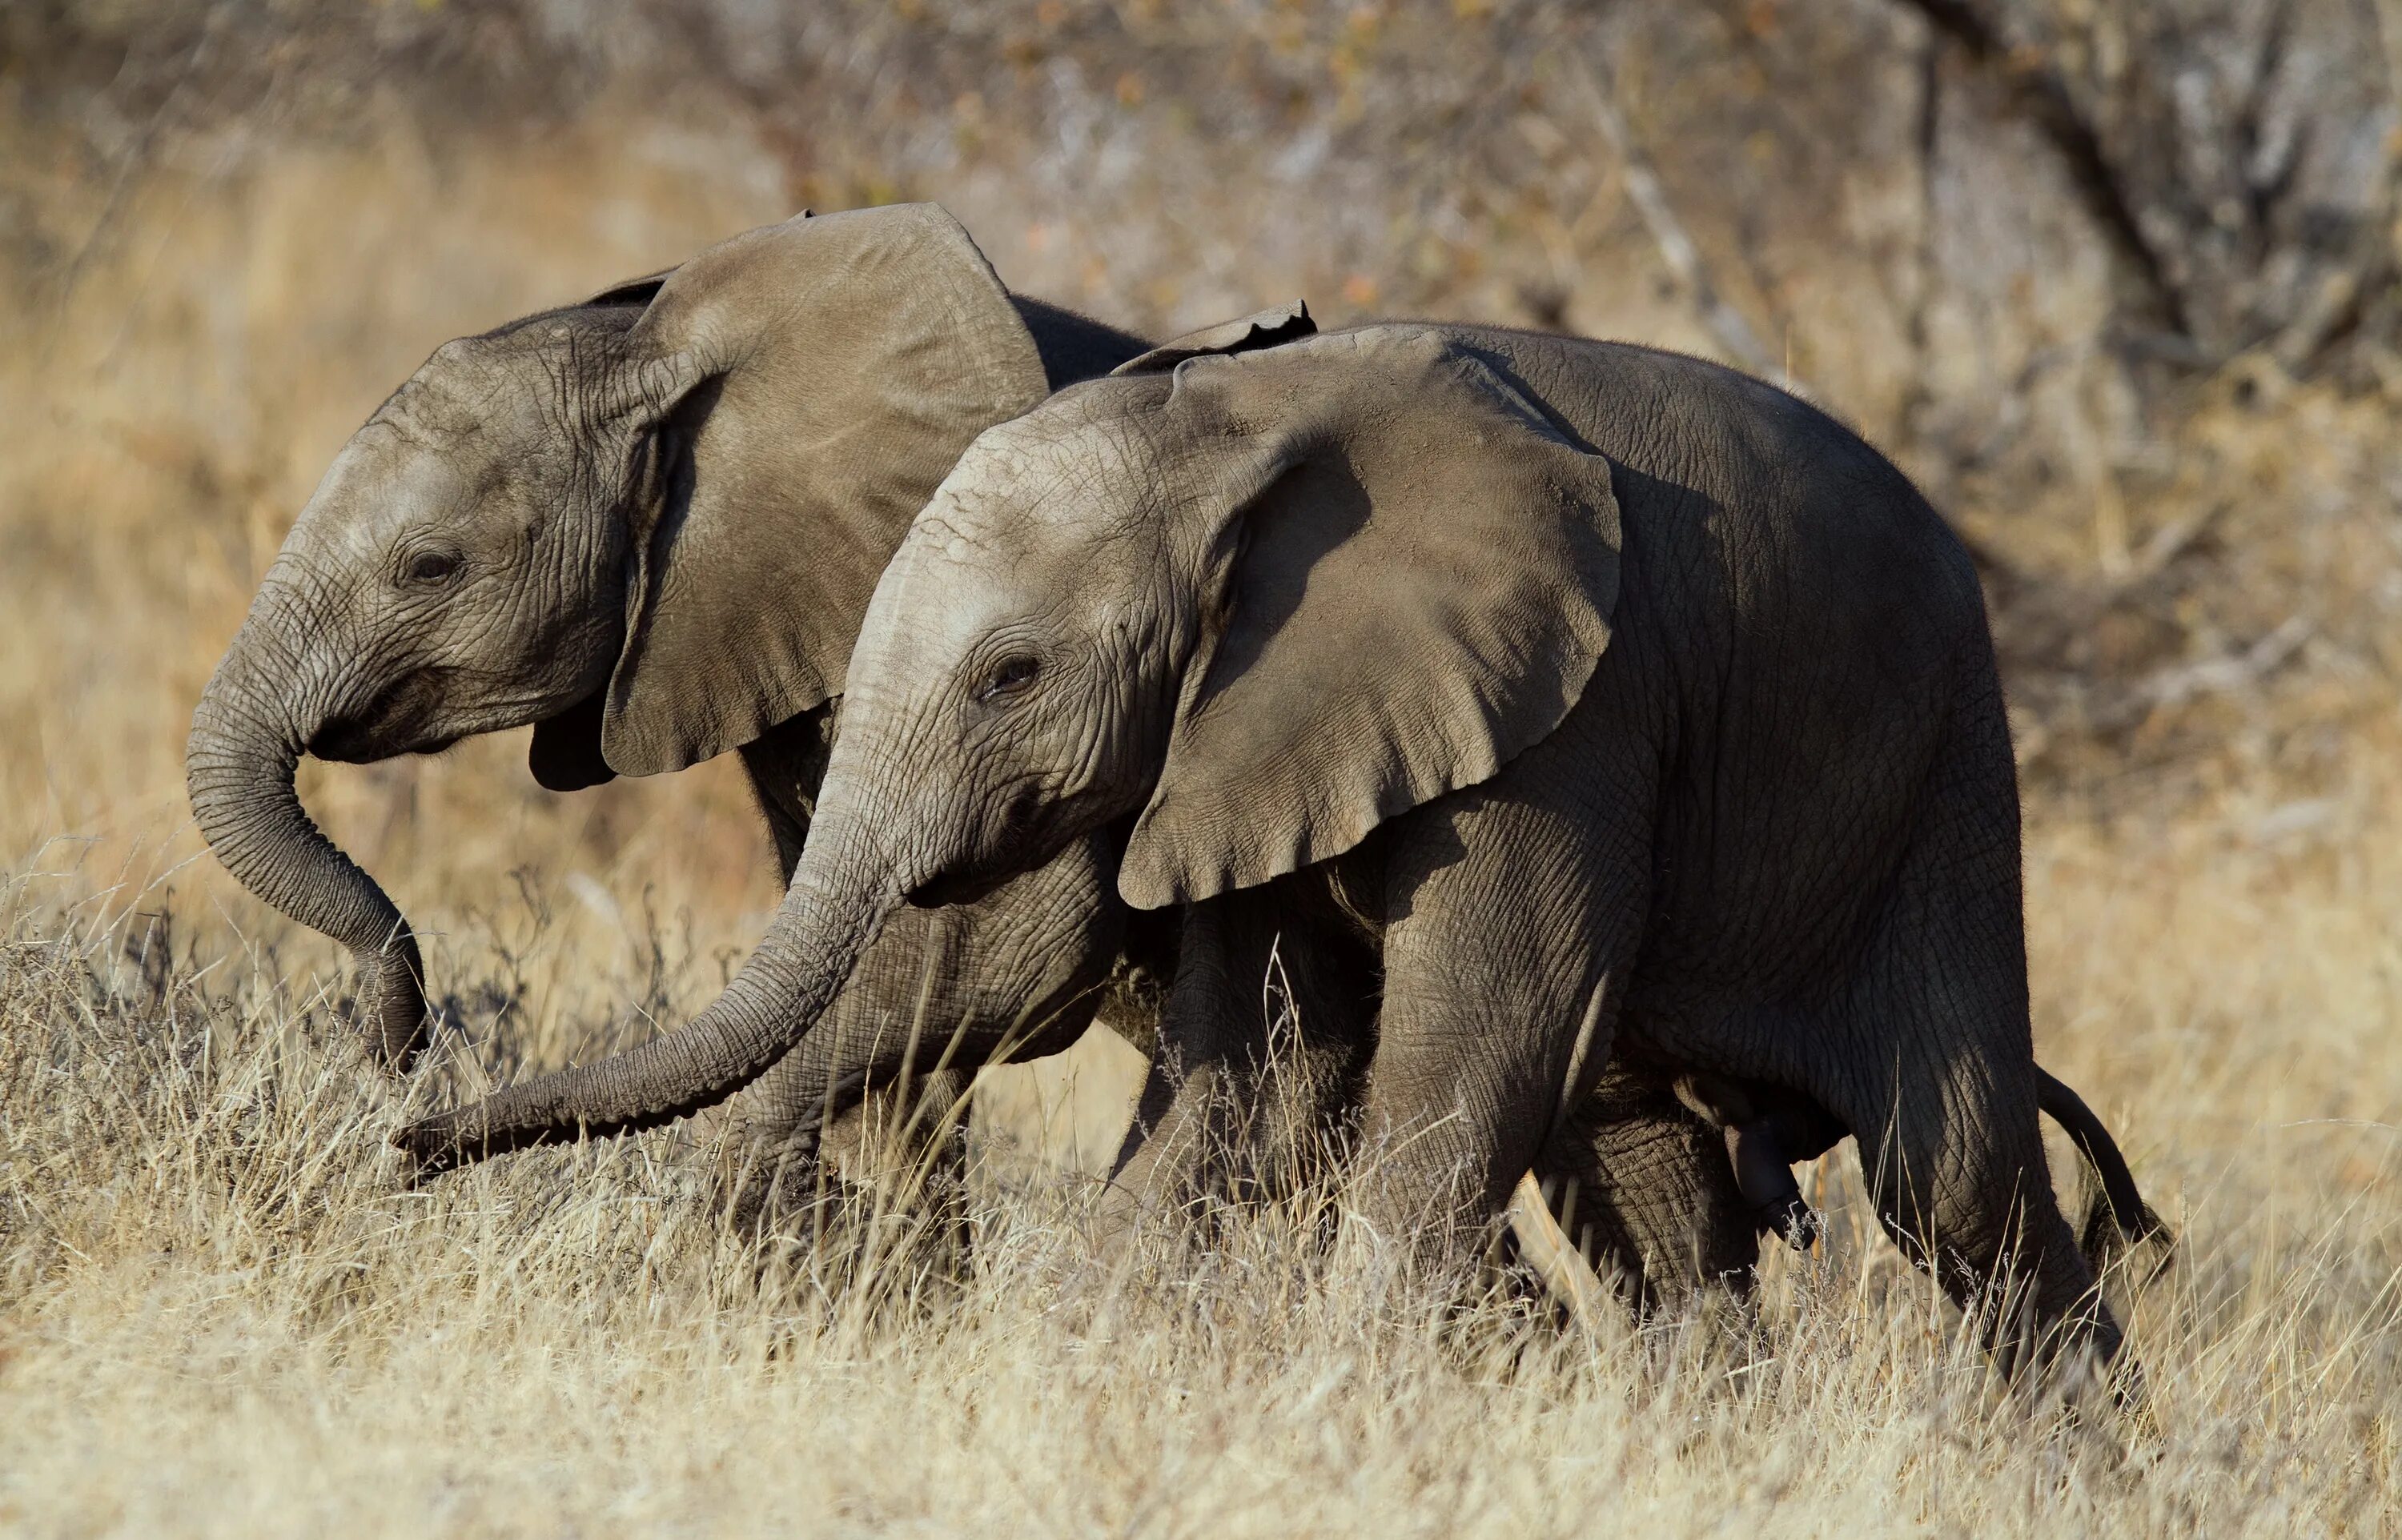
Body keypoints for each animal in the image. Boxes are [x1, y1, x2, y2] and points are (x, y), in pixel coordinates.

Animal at [413, 303, 2181, 1364]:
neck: (1231, 431)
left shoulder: (1579, 717)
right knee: (1656, 1178)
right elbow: (1263, 1072)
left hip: (1942, 774)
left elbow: (1471, 1050)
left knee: (1949, 1177)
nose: (412, 1142)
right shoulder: (1242, 740)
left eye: (1010, 674)